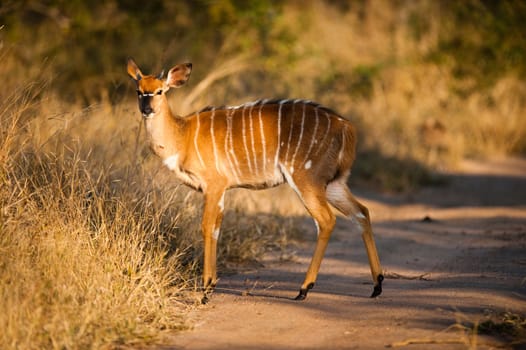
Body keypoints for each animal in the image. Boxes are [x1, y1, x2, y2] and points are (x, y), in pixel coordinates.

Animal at [126, 58, 386, 302]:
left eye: (160, 91)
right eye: (139, 91)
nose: (147, 109)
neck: (183, 136)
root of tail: (347, 127)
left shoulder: (214, 185)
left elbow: (206, 227)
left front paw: (206, 289)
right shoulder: (221, 191)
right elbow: (217, 229)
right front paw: (211, 284)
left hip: (306, 178)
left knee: (327, 220)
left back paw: (304, 289)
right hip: (333, 183)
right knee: (361, 212)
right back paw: (377, 285)